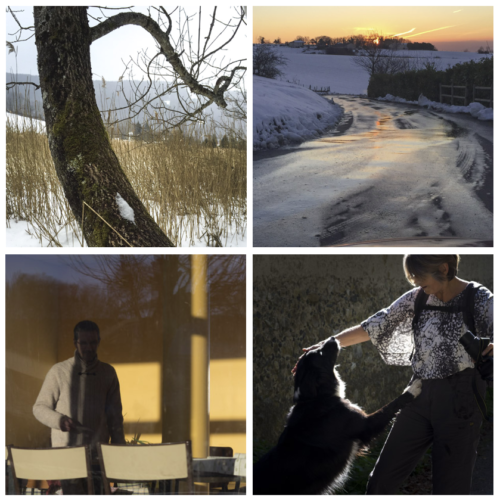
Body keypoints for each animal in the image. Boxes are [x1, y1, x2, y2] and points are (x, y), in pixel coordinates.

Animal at [254, 334, 422, 494]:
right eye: (320, 352)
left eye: (318, 348)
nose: (332, 337)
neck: (318, 398)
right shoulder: (365, 425)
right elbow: (390, 406)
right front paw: (412, 388)